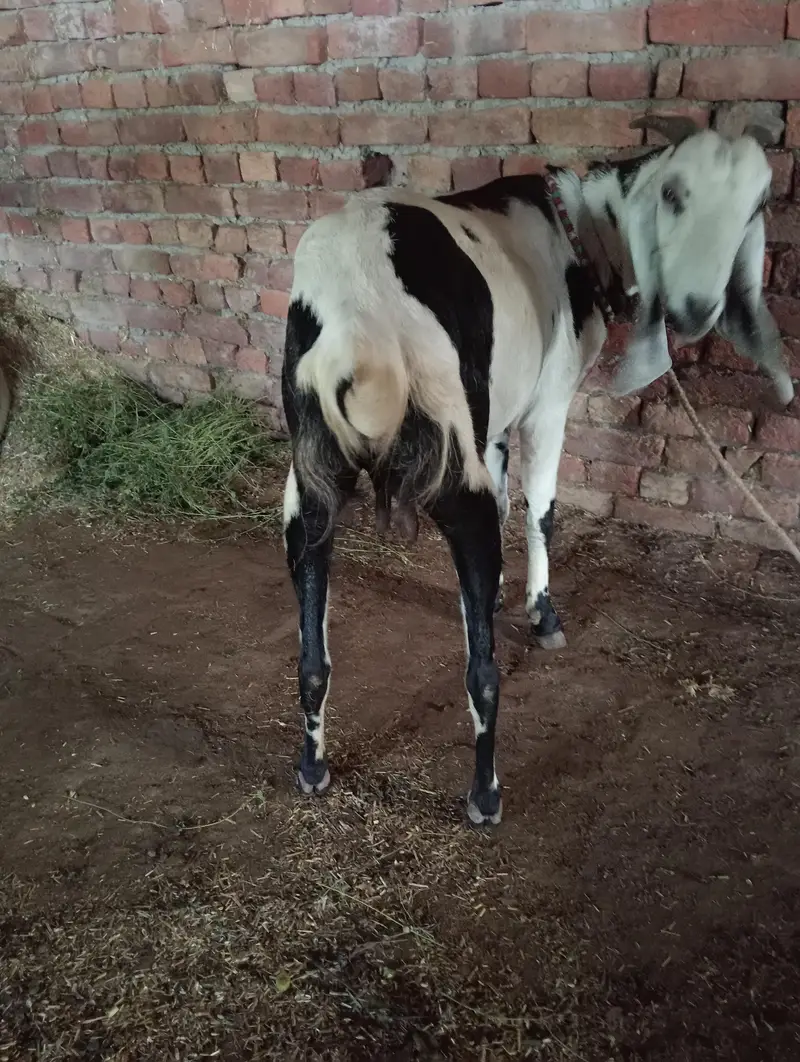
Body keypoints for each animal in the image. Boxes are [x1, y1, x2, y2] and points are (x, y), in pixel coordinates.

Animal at [281, 114, 794, 827]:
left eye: (756, 205)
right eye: (673, 194)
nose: (694, 311)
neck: (576, 229)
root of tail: (354, 326)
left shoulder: (496, 418)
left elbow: (505, 499)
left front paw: (495, 596)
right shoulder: (548, 402)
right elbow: (542, 509)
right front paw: (542, 613)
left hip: (311, 483)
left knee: (312, 652)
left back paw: (313, 765)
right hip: (449, 466)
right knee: (481, 673)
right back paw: (485, 794)